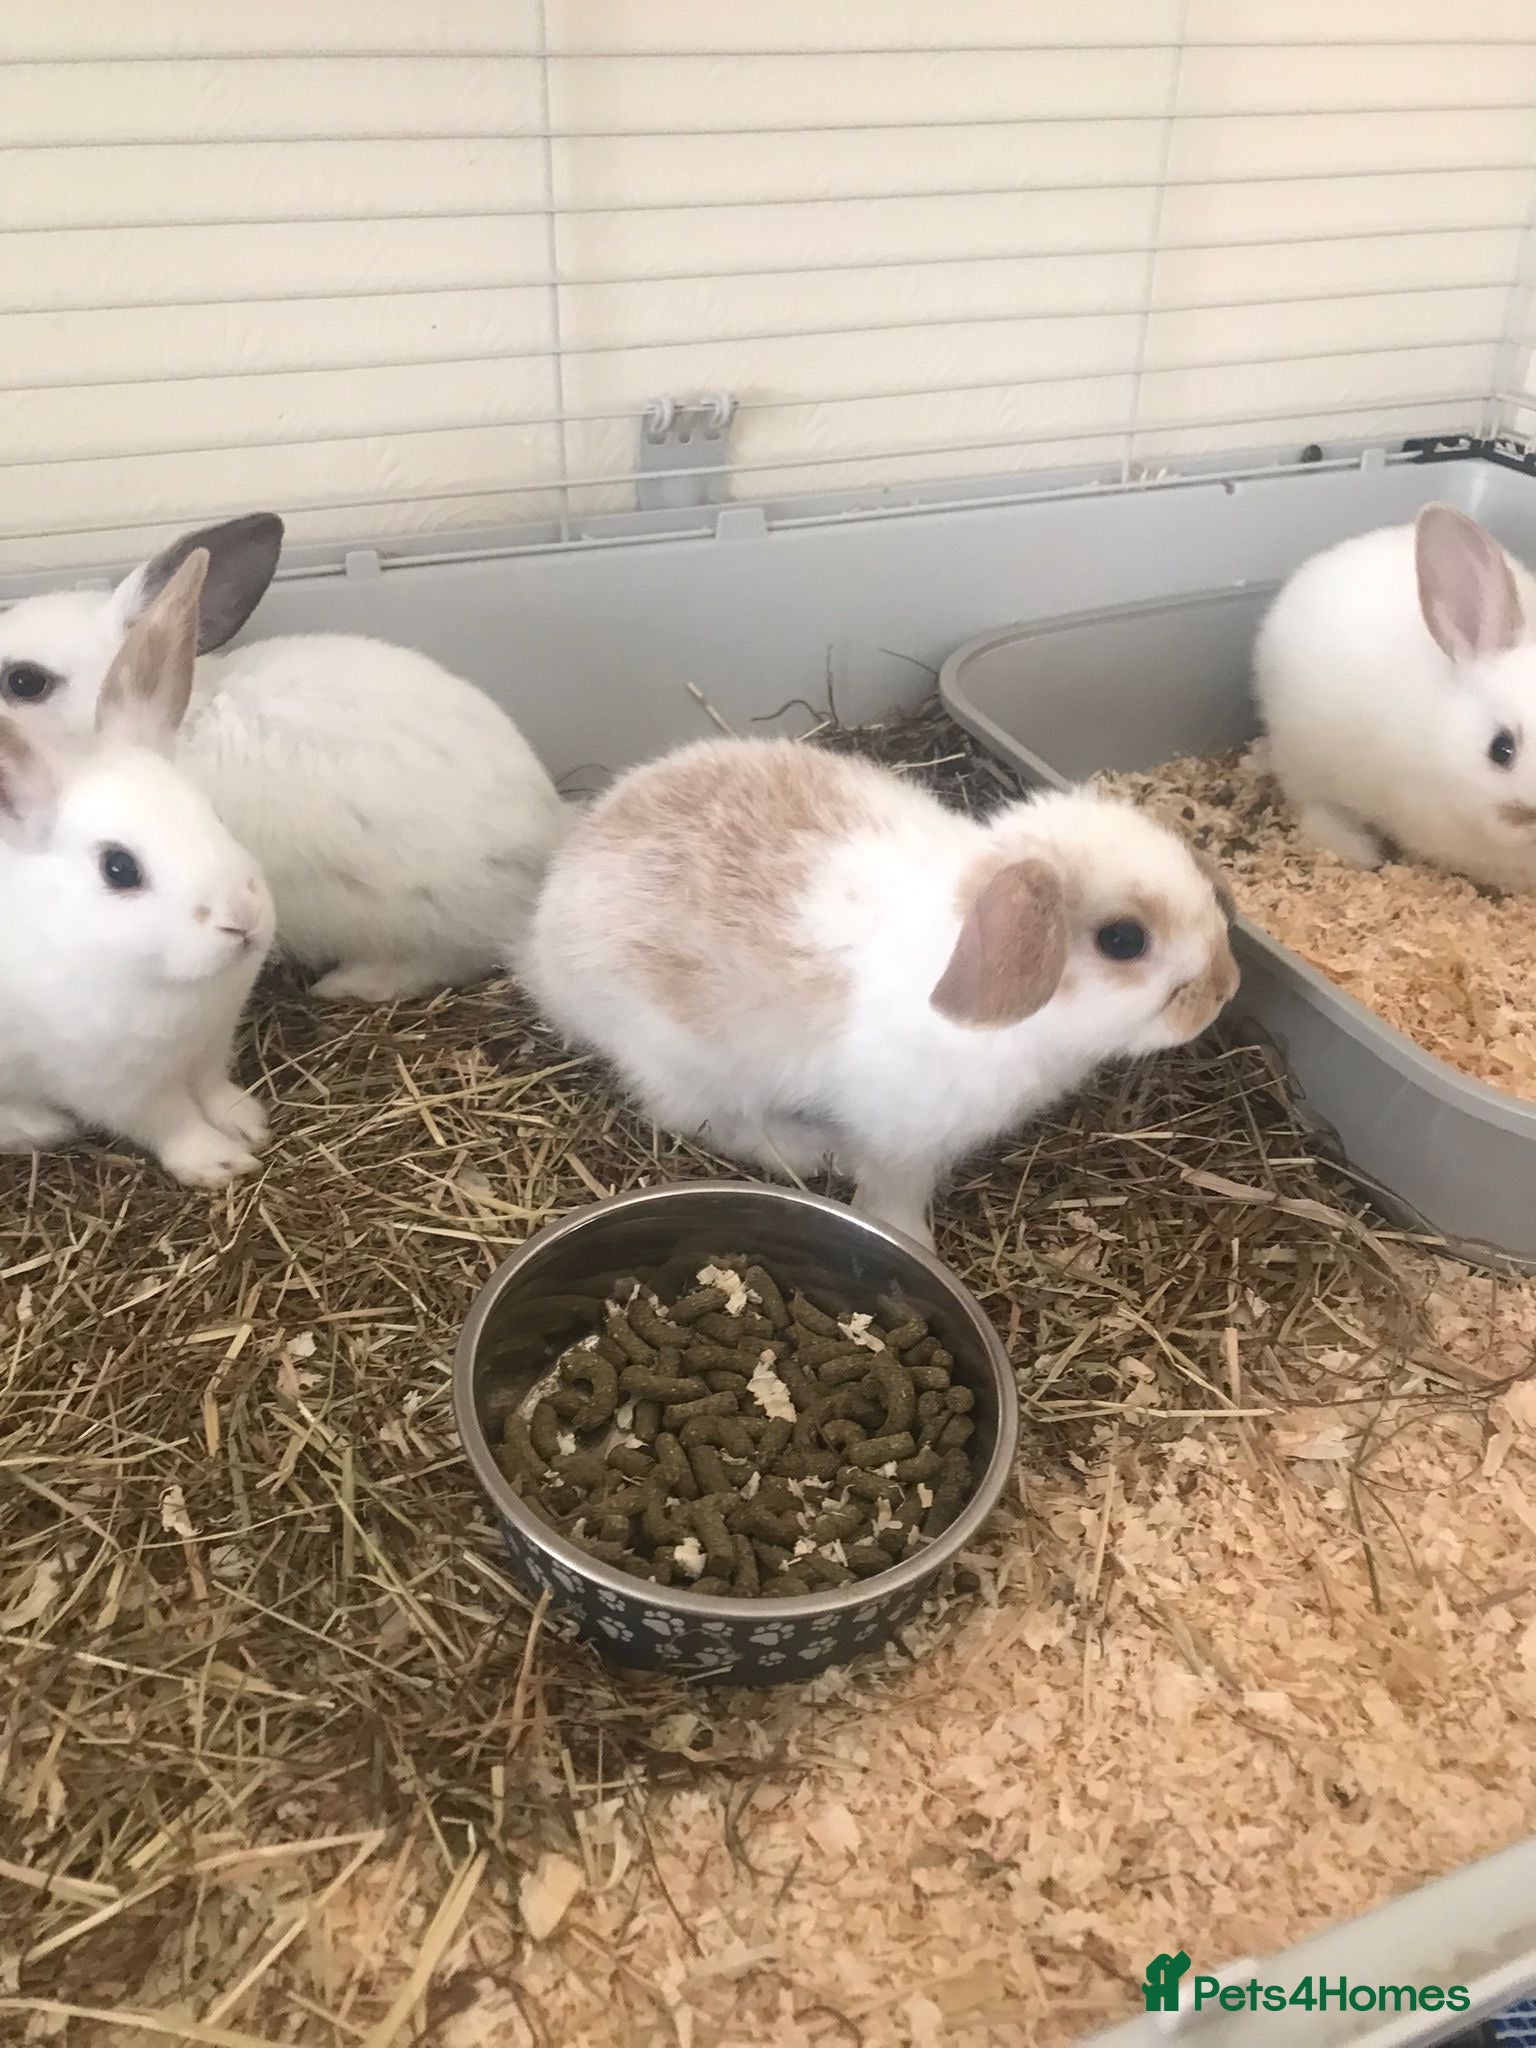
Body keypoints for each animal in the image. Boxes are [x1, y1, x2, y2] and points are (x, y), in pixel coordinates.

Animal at [0, 551, 277, 1187]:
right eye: (119, 869)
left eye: (215, 814)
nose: (242, 917)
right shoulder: (115, 1086)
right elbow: (171, 1122)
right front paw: (220, 1162)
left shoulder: (211, 1045)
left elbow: (212, 1089)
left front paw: (248, 1122)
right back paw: (38, 1128)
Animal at [522, 737, 1238, 1249]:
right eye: (1123, 940)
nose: (1225, 991)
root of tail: (546, 938)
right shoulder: (903, 1139)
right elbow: (893, 1192)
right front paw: (912, 1238)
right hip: (688, 1063)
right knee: (717, 1124)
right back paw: (816, 1152)